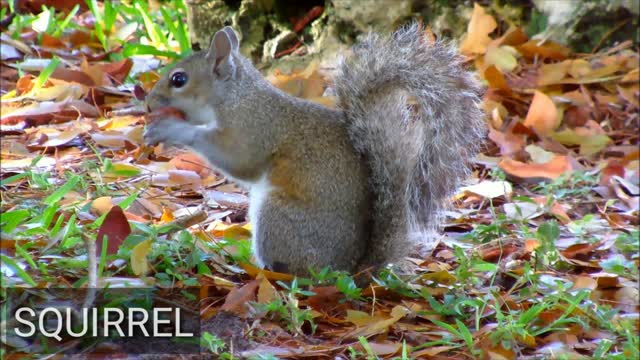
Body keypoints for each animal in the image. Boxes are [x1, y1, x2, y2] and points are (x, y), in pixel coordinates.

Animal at [144, 23, 484, 278]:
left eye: (179, 79)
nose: (147, 103)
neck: (235, 97)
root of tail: (350, 270)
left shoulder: (254, 128)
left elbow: (238, 158)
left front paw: (172, 129)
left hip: (278, 217)